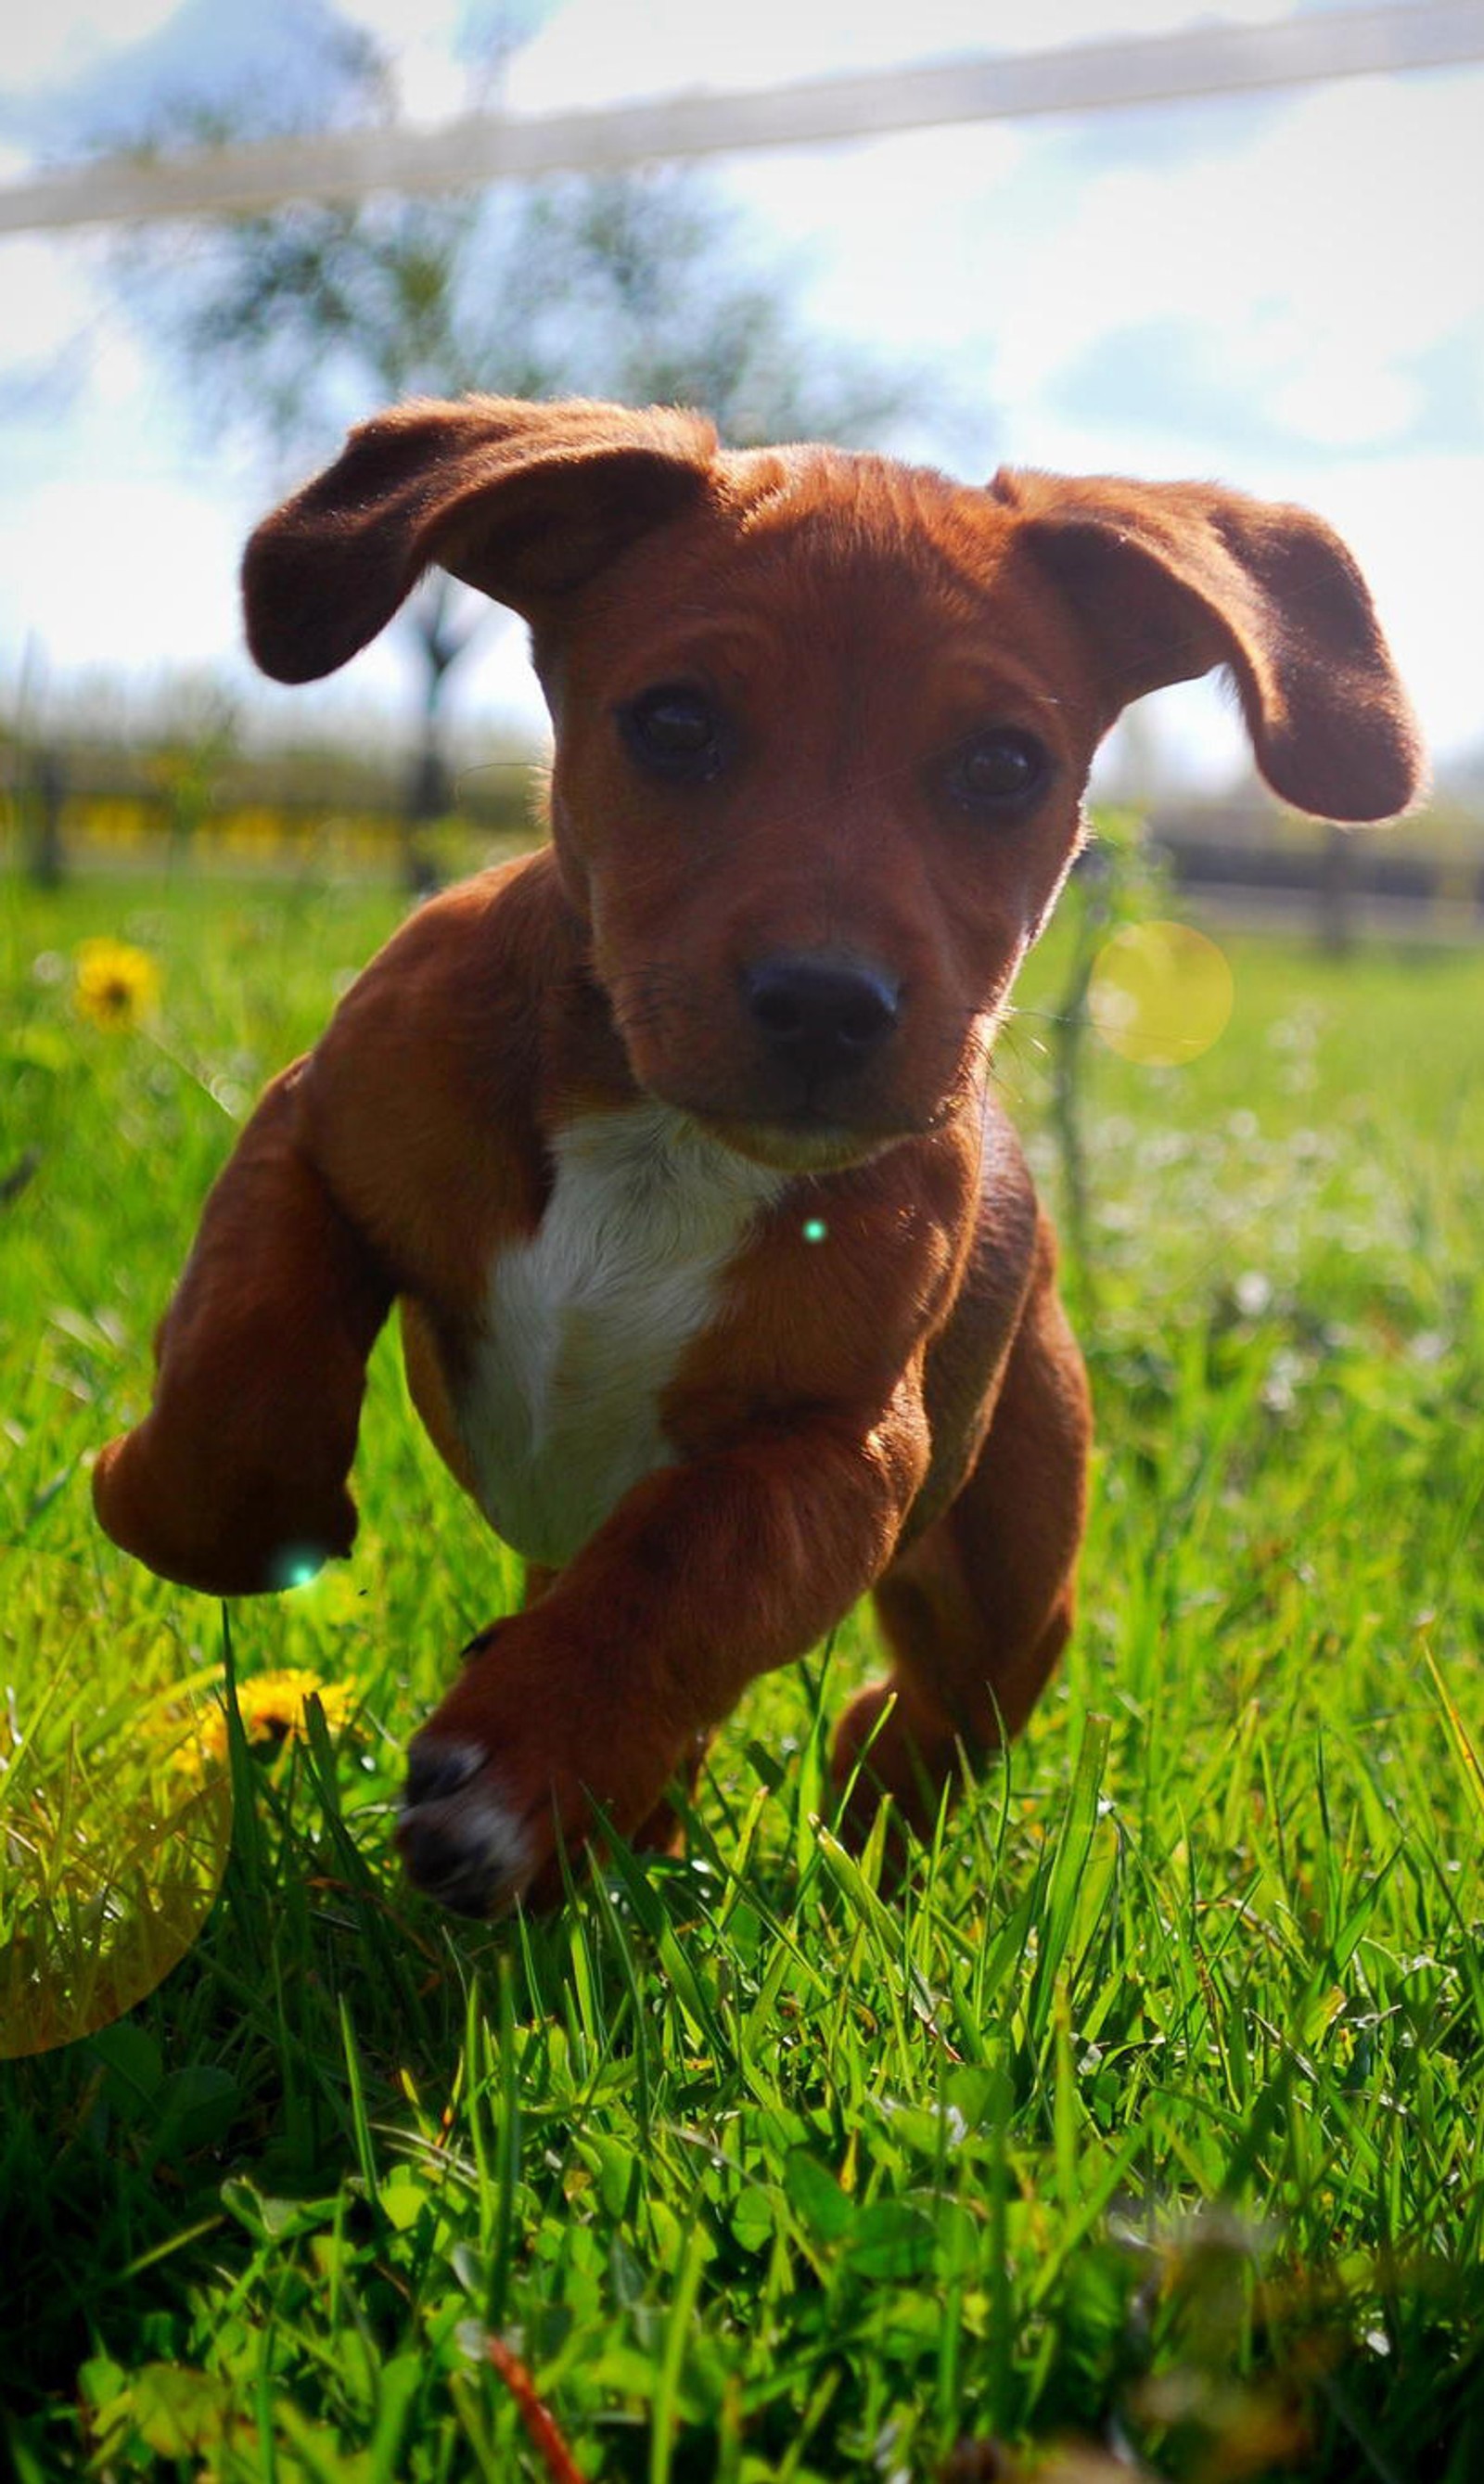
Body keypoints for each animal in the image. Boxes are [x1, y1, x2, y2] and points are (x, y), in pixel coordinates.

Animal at [89, 397, 1412, 1907]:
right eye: (674, 724)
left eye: (1003, 765)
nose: (827, 1000)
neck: (664, 1140)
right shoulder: (312, 1131)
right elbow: (235, 1399)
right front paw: (142, 1483)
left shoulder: (841, 1446)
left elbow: (689, 1564)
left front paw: (527, 1763)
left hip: (1010, 1566)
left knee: (936, 1705)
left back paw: (838, 1816)